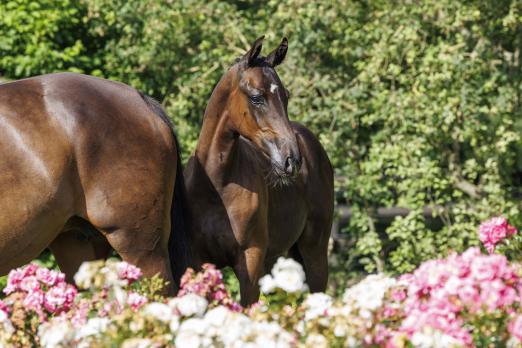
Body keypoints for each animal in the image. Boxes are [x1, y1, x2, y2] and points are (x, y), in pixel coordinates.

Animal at [184, 36, 334, 306]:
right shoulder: (199, 261)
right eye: (256, 97)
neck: (217, 187)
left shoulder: (251, 263)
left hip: (314, 251)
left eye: (286, 96)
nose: (292, 160)